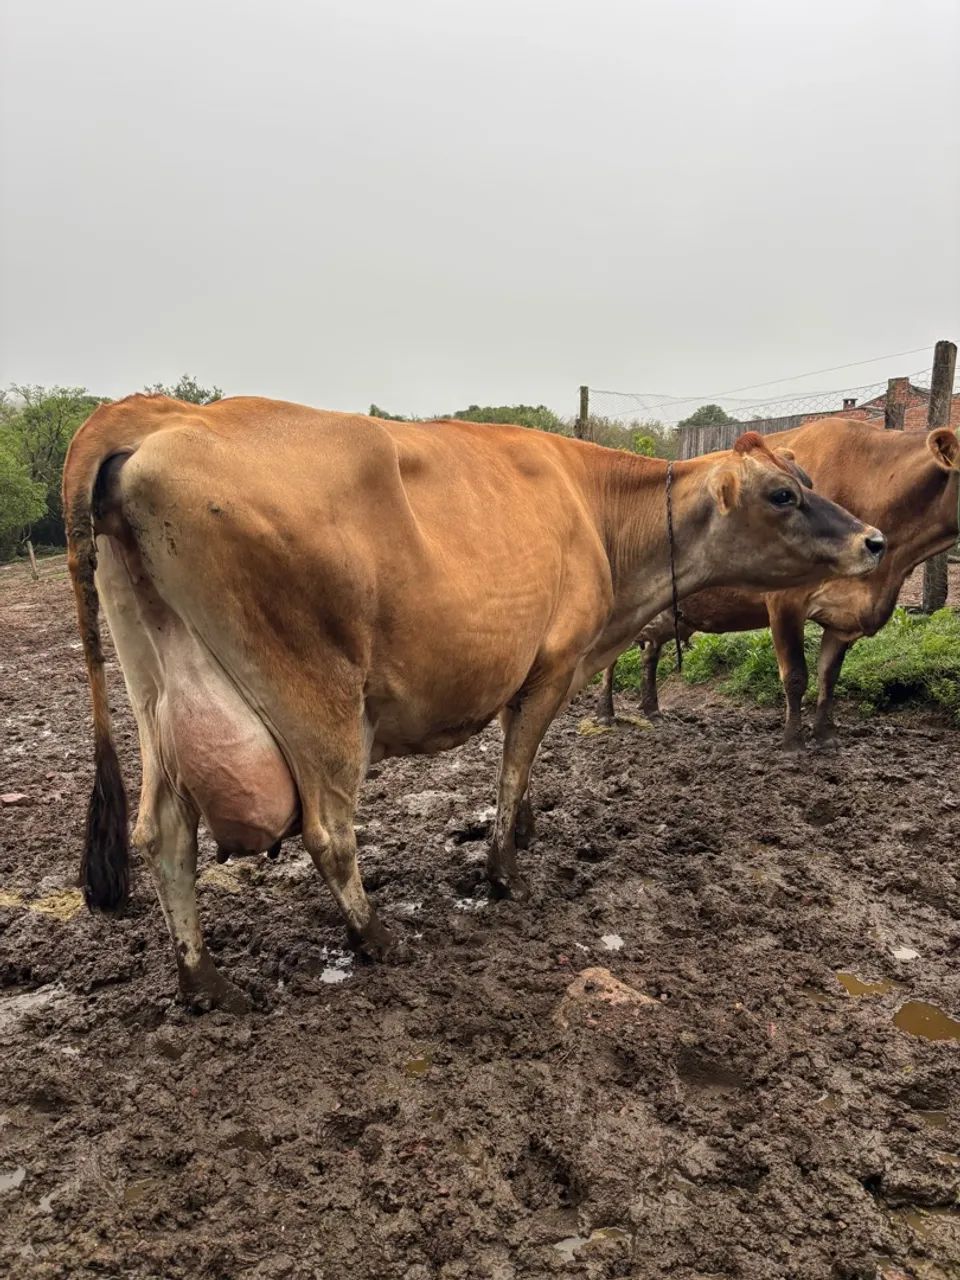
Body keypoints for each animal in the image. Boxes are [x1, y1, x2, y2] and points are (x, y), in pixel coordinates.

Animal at [62, 396, 885, 1011]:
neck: (597, 514)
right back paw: (376, 938)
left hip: (162, 694)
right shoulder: (549, 667)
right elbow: (516, 764)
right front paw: (503, 868)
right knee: (328, 831)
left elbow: (524, 767)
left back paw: (203, 980)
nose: (874, 540)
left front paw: (522, 831)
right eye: (782, 494)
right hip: (316, 698)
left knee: (163, 835)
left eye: (805, 475)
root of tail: (153, 415)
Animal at [598, 418, 960, 747]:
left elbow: (829, 676)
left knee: (649, 652)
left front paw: (825, 736)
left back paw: (651, 709)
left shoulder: (843, 616)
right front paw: (793, 741)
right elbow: (797, 676)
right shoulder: (785, 600)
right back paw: (605, 712)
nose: (875, 543)